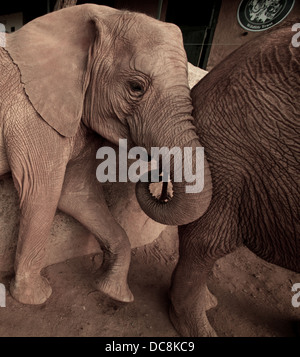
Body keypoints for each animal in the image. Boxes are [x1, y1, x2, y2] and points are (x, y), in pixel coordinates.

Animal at [0, 4, 212, 304]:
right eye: (136, 87)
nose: (157, 178)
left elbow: (77, 194)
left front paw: (116, 293)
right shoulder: (34, 116)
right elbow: (41, 194)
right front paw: (35, 297)